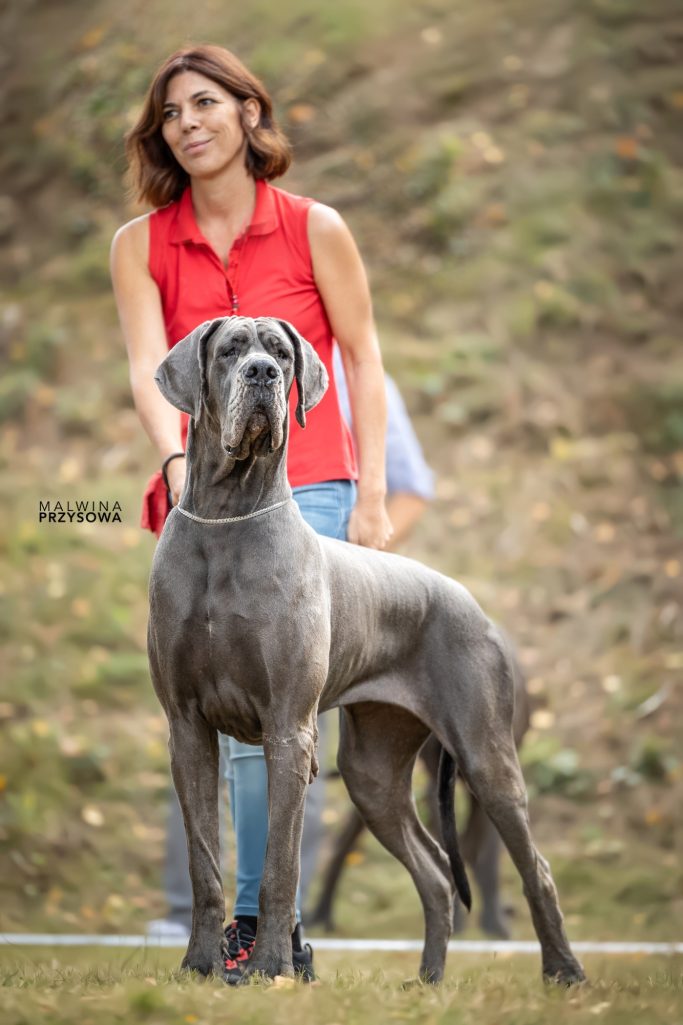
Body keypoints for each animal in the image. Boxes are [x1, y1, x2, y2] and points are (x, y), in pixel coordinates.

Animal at [148, 315, 586, 988]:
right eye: (229, 351)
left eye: (281, 354)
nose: (263, 374)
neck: (228, 517)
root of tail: (475, 604)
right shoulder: (187, 728)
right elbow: (205, 864)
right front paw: (199, 966)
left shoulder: (288, 731)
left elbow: (280, 867)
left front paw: (271, 967)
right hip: (373, 769)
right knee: (435, 873)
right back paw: (428, 983)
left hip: (485, 757)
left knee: (533, 867)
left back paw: (564, 972)